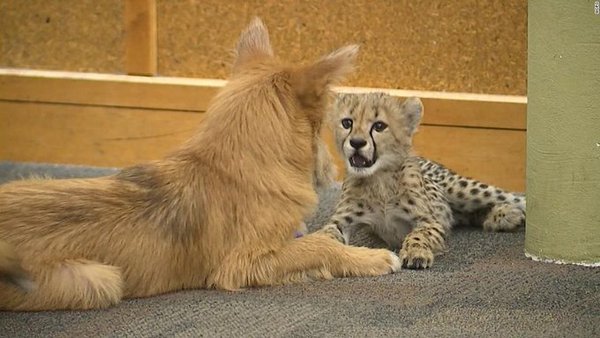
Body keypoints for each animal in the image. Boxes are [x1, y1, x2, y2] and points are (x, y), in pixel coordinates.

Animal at [1, 17, 404, 310]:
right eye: (324, 126)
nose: (333, 171)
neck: (231, 165)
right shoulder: (245, 263)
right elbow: (319, 246)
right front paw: (370, 257)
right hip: (99, 279)